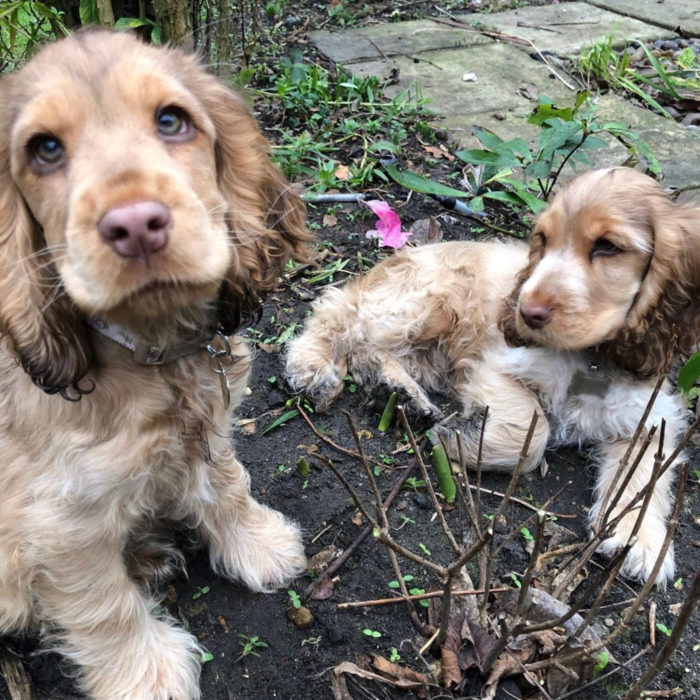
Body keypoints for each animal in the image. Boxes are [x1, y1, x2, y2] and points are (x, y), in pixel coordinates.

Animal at [0, 28, 312, 700]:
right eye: (45, 150)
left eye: (171, 120)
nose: (136, 225)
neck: (151, 353)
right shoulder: (60, 519)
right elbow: (101, 603)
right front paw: (145, 673)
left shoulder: (209, 428)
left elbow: (228, 485)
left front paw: (259, 545)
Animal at [286, 168, 700, 584]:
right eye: (543, 240)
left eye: (608, 246)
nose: (525, 312)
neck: (592, 358)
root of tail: (396, 258)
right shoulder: (498, 366)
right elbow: (533, 433)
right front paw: (457, 440)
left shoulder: (649, 414)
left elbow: (647, 472)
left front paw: (641, 541)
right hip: (422, 304)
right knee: (339, 311)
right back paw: (312, 366)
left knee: (367, 352)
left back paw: (402, 395)